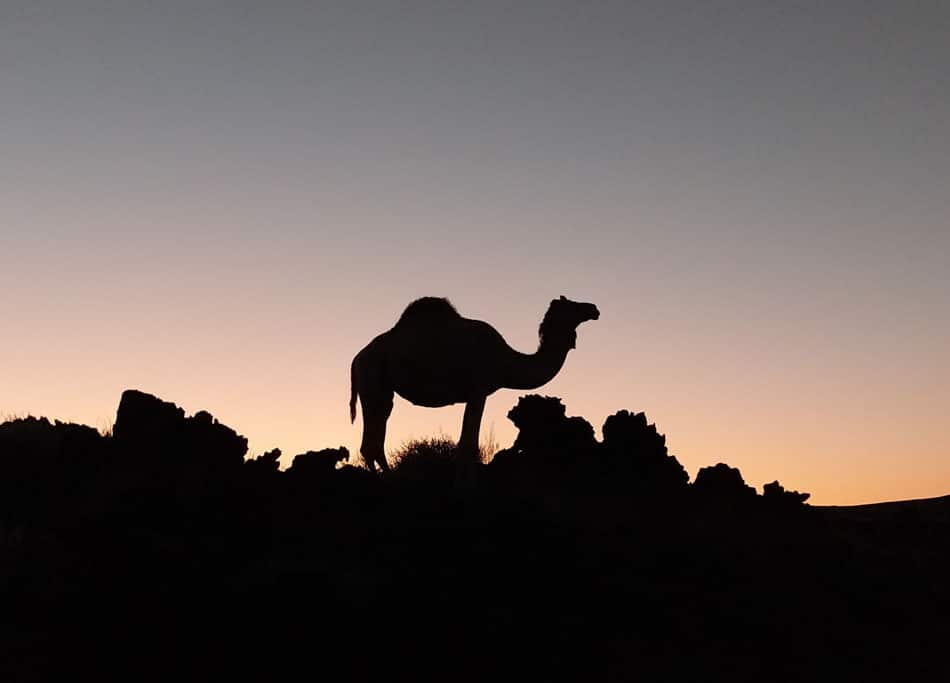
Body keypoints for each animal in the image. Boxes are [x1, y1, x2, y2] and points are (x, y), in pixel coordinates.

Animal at [349, 295, 600, 482]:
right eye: (572, 305)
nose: (593, 308)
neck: (506, 361)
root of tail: (357, 358)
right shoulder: (479, 391)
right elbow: (469, 443)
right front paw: (467, 487)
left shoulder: (474, 394)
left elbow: (466, 441)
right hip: (372, 381)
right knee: (370, 442)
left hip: (381, 391)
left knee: (375, 439)